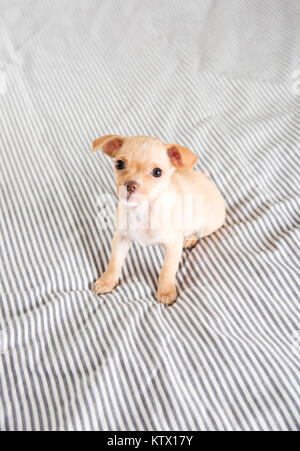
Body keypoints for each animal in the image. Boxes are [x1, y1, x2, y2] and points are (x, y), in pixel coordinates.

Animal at [91, 132, 225, 306]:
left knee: (198, 232)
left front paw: (166, 291)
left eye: (157, 172)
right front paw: (106, 281)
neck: (142, 210)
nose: (130, 185)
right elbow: (114, 262)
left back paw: (190, 238)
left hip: (209, 224)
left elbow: (167, 270)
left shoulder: (173, 245)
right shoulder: (121, 238)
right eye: (119, 164)